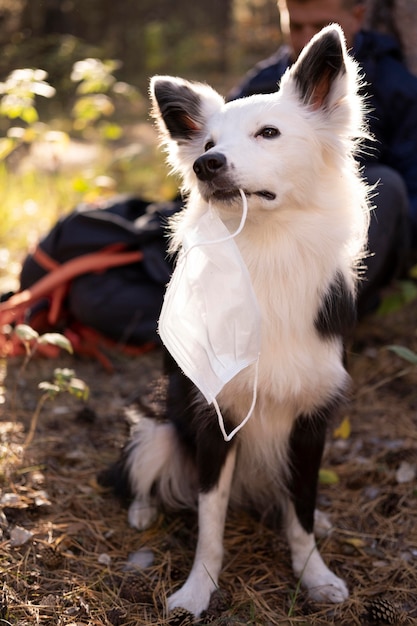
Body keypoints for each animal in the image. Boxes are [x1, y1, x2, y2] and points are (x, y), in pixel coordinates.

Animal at [100, 23, 368, 616]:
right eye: (206, 145)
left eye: (269, 133)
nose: (208, 165)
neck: (264, 249)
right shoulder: (213, 416)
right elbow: (209, 519)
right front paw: (197, 589)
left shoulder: (310, 421)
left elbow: (301, 512)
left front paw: (315, 575)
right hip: (158, 427)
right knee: (142, 468)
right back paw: (142, 510)